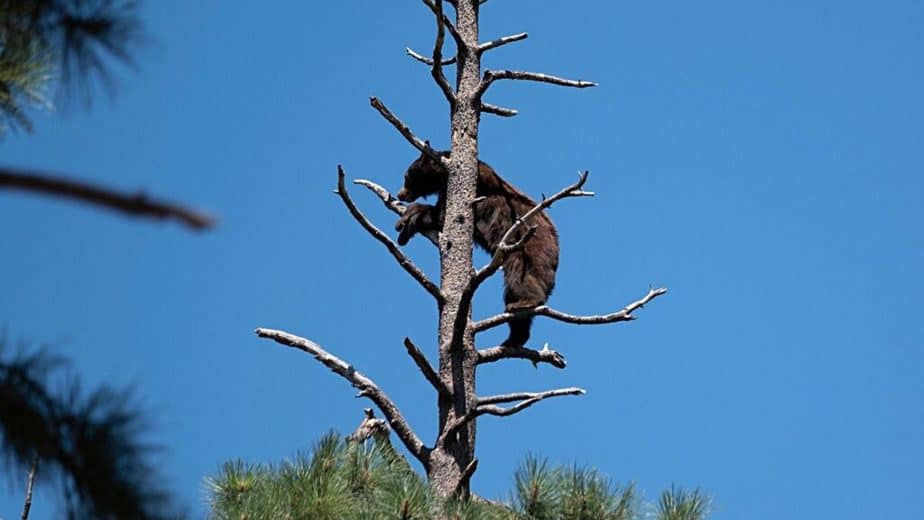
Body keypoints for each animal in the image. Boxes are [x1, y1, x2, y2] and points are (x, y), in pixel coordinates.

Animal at [390, 150, 556, 348]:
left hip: (528, 245)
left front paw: (411, 216)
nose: (400, 194)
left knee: (521, 274)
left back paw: (525, 303)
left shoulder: (477, 187)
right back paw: (514, 338)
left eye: (407, 176)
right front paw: (404, 228)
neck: (443, 176)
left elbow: (442, 216)